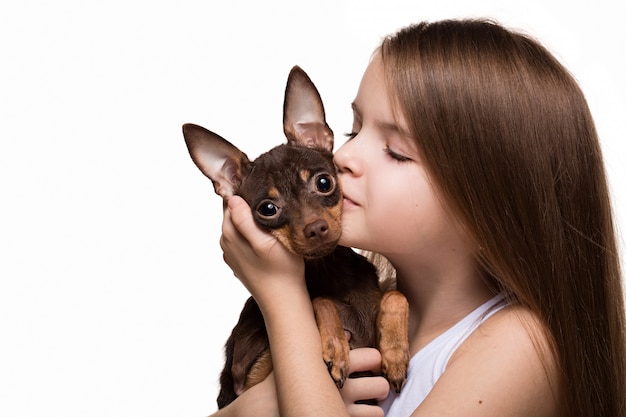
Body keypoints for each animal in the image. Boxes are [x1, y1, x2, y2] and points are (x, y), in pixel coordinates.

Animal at [183, 65, 408, 406]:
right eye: (268, 208)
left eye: (324, 182)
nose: (315, 228)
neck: (328, 269)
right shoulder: (246, 377)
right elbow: (320, 299)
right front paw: (336, 347)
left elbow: (395, 295)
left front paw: (395, 353)